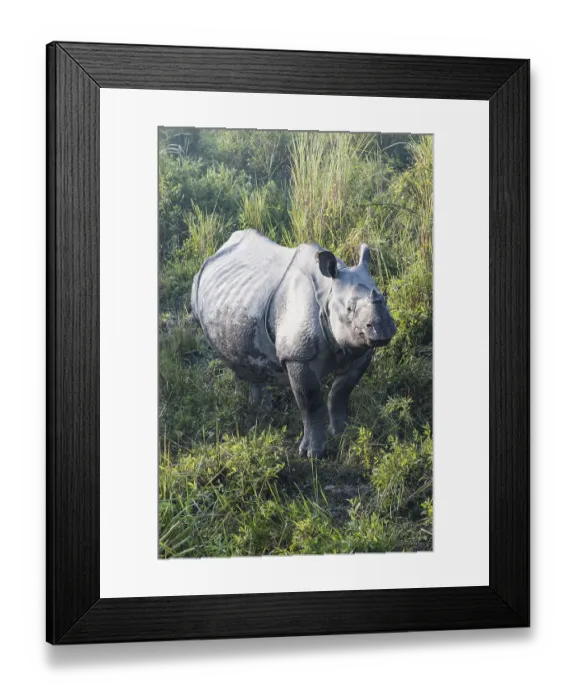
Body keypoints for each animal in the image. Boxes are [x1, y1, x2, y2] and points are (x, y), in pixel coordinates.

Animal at [191, 229, 397, 458]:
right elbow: (311, 403)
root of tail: (217, 250)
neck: (328, 292)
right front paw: (313, 454)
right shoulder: (298, 357)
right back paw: (248, 405)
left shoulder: (359, 351)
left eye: (384, 299)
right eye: (350, 309)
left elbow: (340, 393)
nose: (382, 329)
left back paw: (261, 408)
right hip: (200, 291)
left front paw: (343, 433)